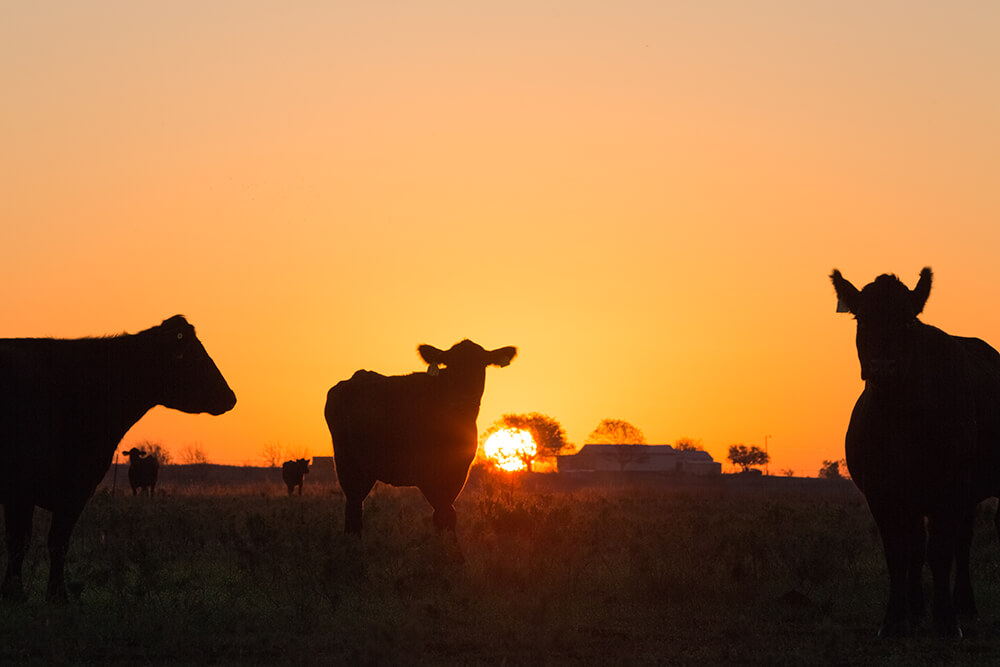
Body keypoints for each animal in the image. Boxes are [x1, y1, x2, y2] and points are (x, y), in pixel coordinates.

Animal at [0, 316, 236, 604]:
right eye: (189, 354)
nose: (230, 396)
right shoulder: (46, 489)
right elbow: (38, 541)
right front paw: (45, 595)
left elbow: (34, 542)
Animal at [326, 340, 516, 548]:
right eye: (450, 364)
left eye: (481, 365)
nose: (462, 398)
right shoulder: (426, 473)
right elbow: (444, 513)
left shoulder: (458, 471)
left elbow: (447, 513)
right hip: (347, 464)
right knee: (353, 507)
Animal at [828, 268, 1000, 640]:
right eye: (862, 318)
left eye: (907, 320)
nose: (882, 366)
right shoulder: (881, 491)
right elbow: (899, 553)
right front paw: (895, 619)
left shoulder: (952, 487)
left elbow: (941, 551)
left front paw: (946, 621)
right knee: (924, 545)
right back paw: (919, 609)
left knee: (962, 541)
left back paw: (964, 607)